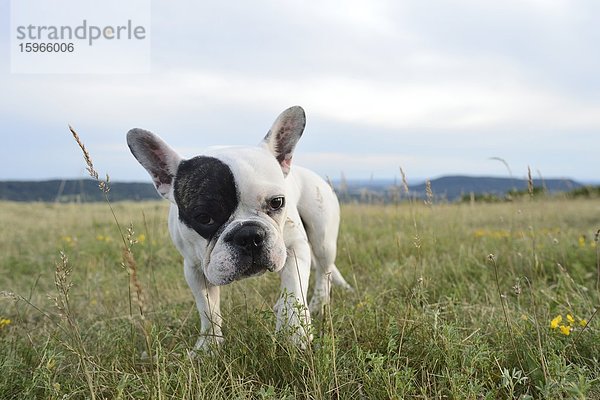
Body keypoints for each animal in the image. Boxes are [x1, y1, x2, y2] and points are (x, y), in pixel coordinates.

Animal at [126, 106, 352, 350]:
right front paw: (209, 347)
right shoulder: (194, 268)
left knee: (323, 272)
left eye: (277, 202)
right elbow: (207, 309)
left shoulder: (294, 247)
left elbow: (294, 287)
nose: (249, 235)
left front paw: (294, 333)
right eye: (204, 217)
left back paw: (318, 304)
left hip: (322, 239)